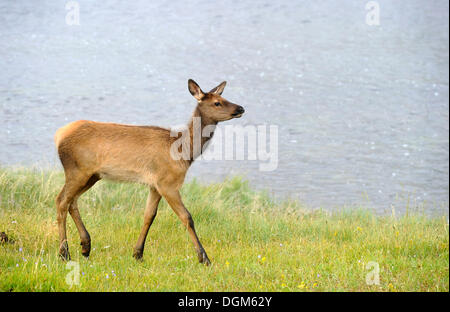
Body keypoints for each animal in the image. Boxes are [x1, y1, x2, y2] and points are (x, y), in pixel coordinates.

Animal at [55, 79, 246, 264]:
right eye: (217, 103)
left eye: (224, 98)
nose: (241, 108)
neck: (184, 152)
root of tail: (58, 135)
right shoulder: (168, 182)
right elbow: (186, 217)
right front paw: (204, 257)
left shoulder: (155, 185)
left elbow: (149, 216)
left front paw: (138, 254)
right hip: (77, 170)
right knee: (61, 201)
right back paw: (64, 253)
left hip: (92, 175)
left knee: (72, 201)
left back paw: (85, 246)